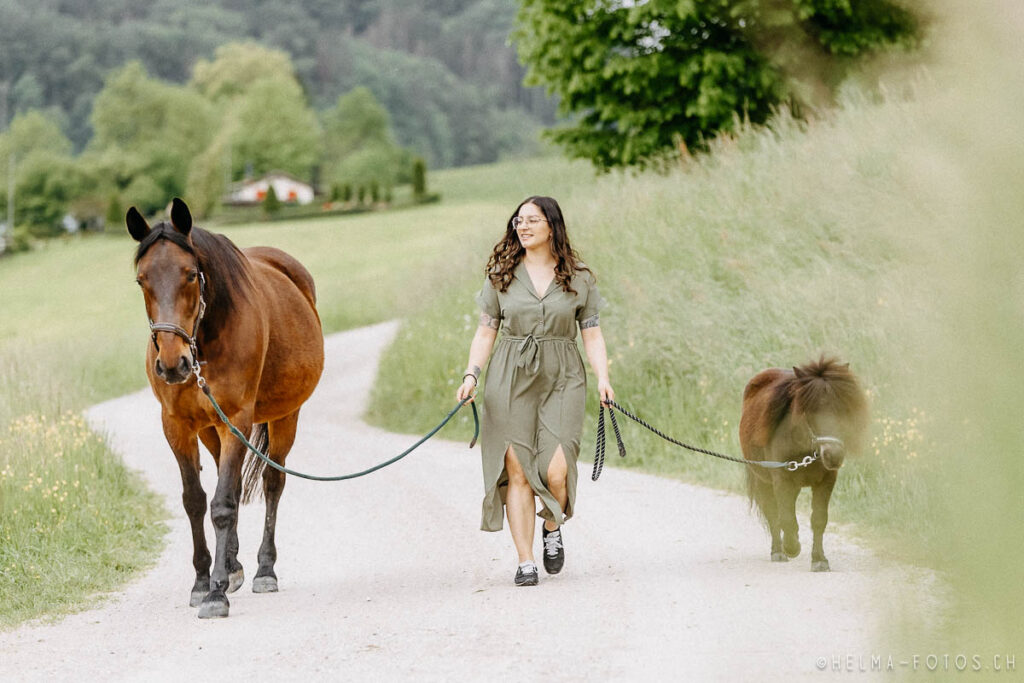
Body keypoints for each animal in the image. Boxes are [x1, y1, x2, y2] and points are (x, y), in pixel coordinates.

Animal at [126, 197, 323, 618]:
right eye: (141, 280)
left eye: (189, 275)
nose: (172, 364)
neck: (205, 338)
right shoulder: (178, 425)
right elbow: (197, 501)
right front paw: (204, 581)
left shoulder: (238, 418)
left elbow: (223, 505)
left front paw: (216, 593)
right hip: (211, 430)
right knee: (224, 479)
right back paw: (232, 566)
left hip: (283, 417)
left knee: (272, 482)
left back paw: (264, 570)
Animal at [741, 358, 868, 573]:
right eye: (811, 410)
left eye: (843, 409)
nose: (833, 455)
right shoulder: (782, 480)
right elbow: (785, 518)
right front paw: (792, 548)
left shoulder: (826, 481)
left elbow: (818, 519)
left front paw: (819, 560)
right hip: (764, 481)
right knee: (772, 513)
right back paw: (779, 551)